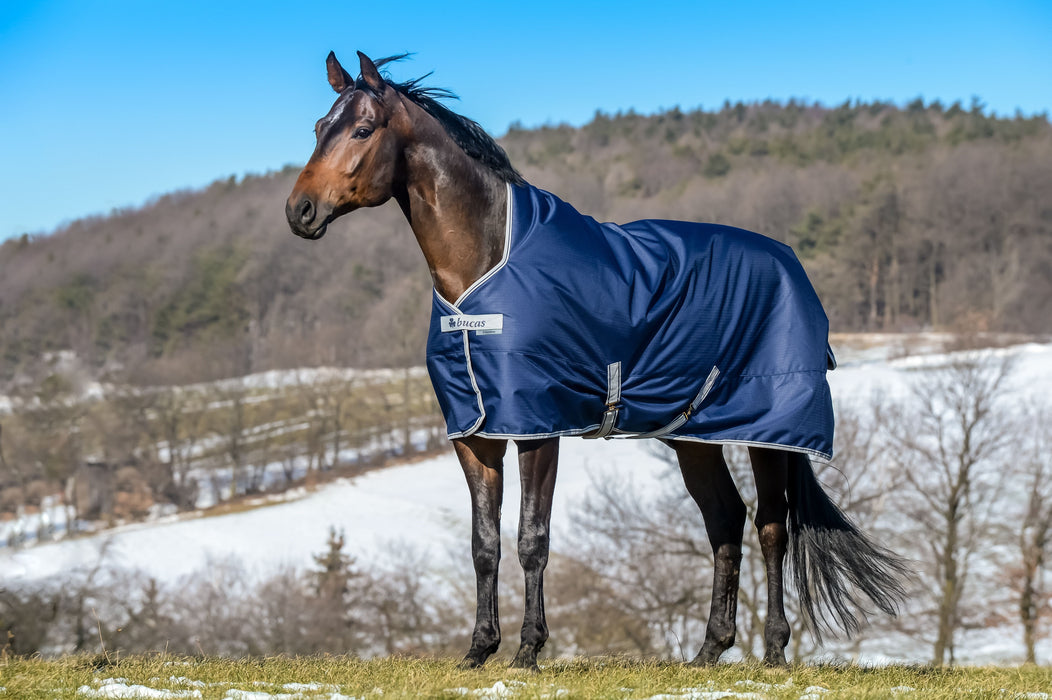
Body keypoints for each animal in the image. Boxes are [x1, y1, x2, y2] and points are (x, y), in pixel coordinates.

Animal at [286, 51, 907, 669]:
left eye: (363, 130)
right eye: (318, 128)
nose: (300, 211)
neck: (485, 269)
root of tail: (790, 264)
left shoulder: (538, 427)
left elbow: (531, 538)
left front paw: (528, 650)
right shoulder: (475, 433)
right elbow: (483, 543)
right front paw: (478, 651)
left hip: (770, 432)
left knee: (771, 525)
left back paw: (774, 651)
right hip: (693, 436)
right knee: (725, 520)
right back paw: (709, 649)